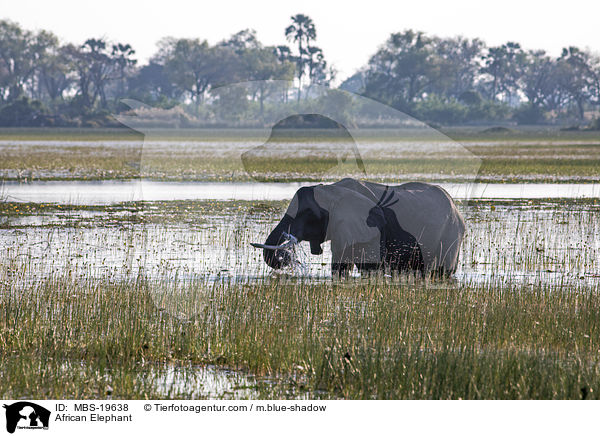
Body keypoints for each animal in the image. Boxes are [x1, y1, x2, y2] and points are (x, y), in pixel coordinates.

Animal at [251, 177, 466, 276]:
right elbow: (339, 268)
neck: (333, 190)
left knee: (443, 270)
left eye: (308, 214)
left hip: (451, 233)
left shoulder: (373, 229)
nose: (287, 258)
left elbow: (370, 268)